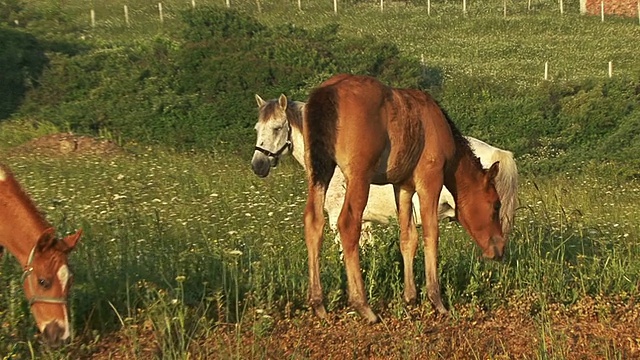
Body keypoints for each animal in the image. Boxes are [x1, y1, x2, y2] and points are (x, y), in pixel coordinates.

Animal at [304, 74, 504, 324]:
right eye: (495, 205)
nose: (499, 249)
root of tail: (328, 92)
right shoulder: (430, 180)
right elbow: (430, 233)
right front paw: (436, 300)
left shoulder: (403, 187)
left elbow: (408, 237)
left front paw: (410, 296)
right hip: (359, 177)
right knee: (348, 224)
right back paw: (363, 305)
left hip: (320, 171)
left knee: (313, 222)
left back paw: (318, 303)